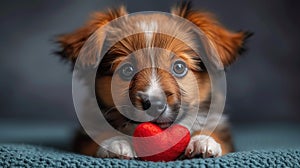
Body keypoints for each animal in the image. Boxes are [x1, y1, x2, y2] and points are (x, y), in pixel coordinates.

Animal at [56, 1, 251, 160]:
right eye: (127, 70)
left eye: (179, 67)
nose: (155, 104)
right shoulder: (83, 136)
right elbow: (96, 138)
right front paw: (115, 142)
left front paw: (203, 140)